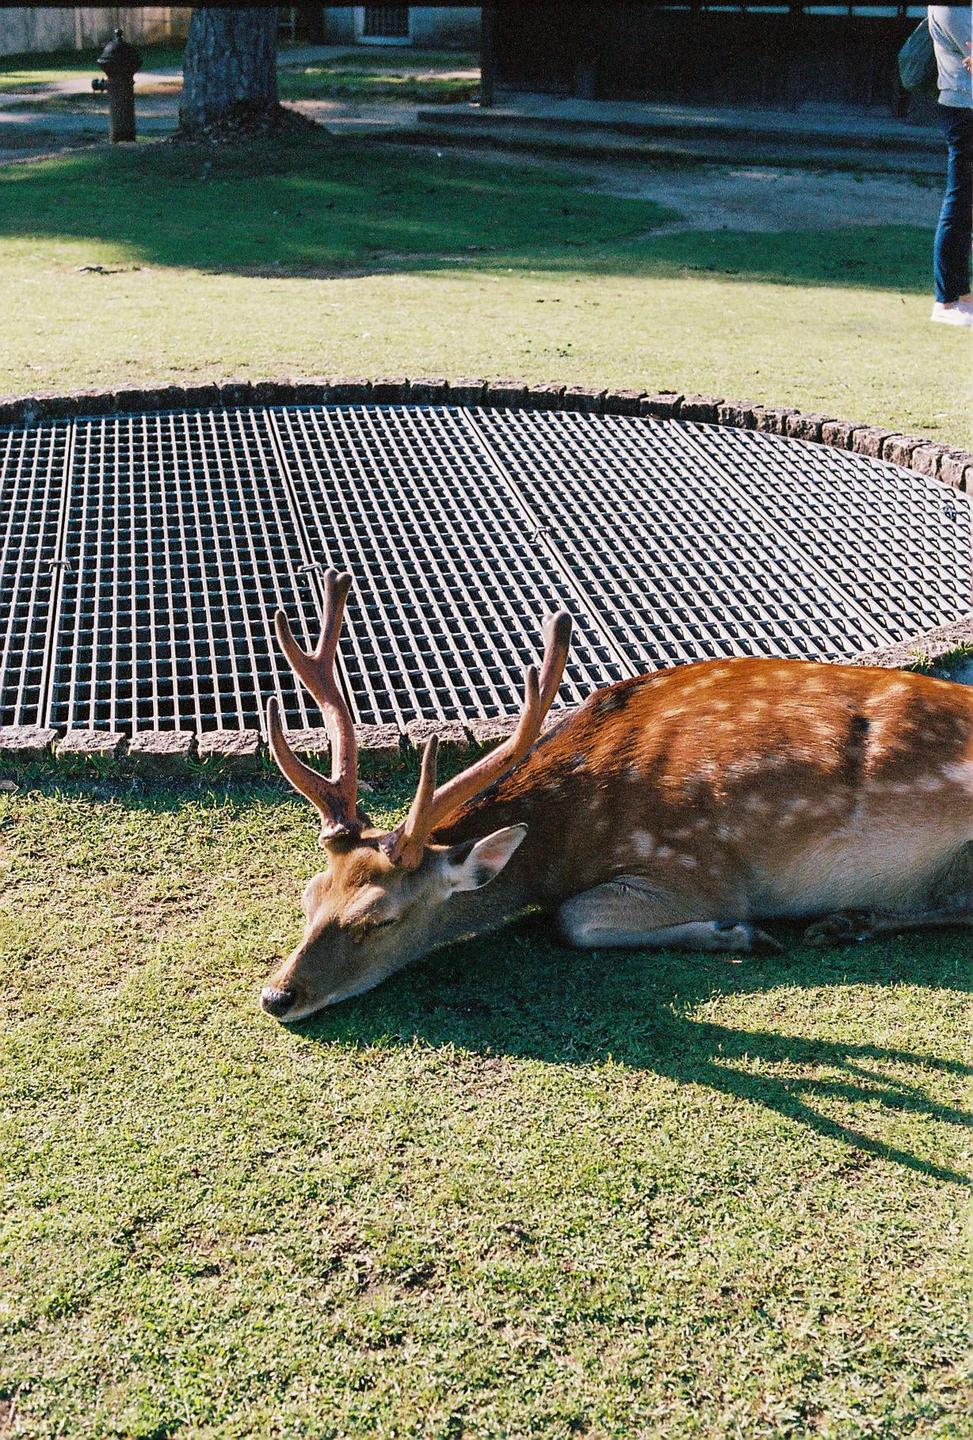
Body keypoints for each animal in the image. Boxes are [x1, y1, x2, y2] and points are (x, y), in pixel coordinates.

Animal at [260, 571, 973, 1023]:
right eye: (309, 896)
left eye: (380, 919)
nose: (277, 996)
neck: (574, 833)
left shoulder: (697, 865)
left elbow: (570, 920)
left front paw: (739, 933)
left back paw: (847, 921)